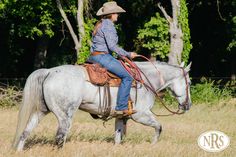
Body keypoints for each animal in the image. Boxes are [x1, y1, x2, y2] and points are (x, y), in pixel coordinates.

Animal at [11, 61, 192, 151]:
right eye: (189, 82)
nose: (188, 105)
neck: (145, 80)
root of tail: (49, 71)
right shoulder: (141, 114)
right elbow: (159, 127)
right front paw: (153, 145)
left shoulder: (121, 117)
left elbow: (118, 138)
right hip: (65, 116)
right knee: (60, 137)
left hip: (41, 111)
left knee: (25, 132)